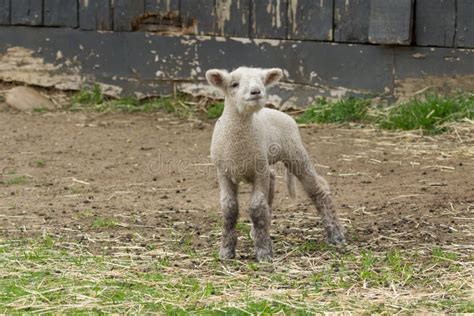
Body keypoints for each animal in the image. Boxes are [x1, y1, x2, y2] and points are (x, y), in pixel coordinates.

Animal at [206, 66, 344, 262]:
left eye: (261, 82)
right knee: (272, 182)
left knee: (318, 188)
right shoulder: (224, 172)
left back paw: (336, 234)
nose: (256, 91)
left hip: (295, 152)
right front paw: (226, 251)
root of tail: (278, 112)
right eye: (234, 84)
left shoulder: (259, 172)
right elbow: (229, 209)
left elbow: (256, 207)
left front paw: (264, 252)